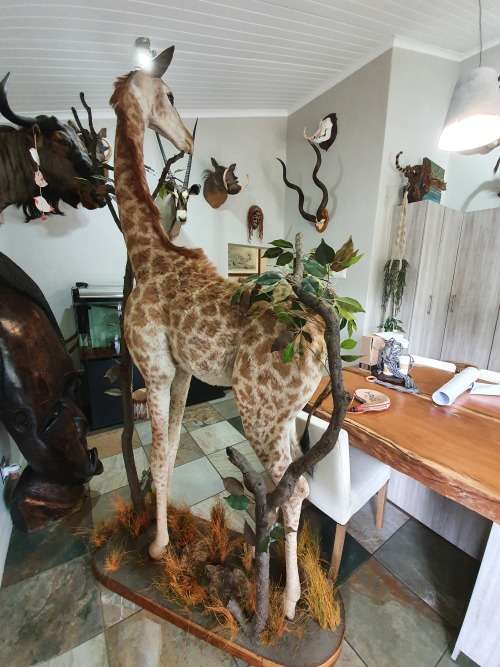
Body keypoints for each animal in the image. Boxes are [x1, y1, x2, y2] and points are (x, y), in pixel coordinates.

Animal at [110, 46, 325, 620]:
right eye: (169, 95)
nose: (186, 139)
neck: (148, 252)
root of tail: (319, 344)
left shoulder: (155, 369)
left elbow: (157, 455)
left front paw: (157, 547)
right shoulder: (181, 372)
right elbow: (171, 449)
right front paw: (170, 538)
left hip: (258, 411)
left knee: (291, 488)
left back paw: (287, 604)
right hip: (288, 414)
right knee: (297, 483)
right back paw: (279, 589)